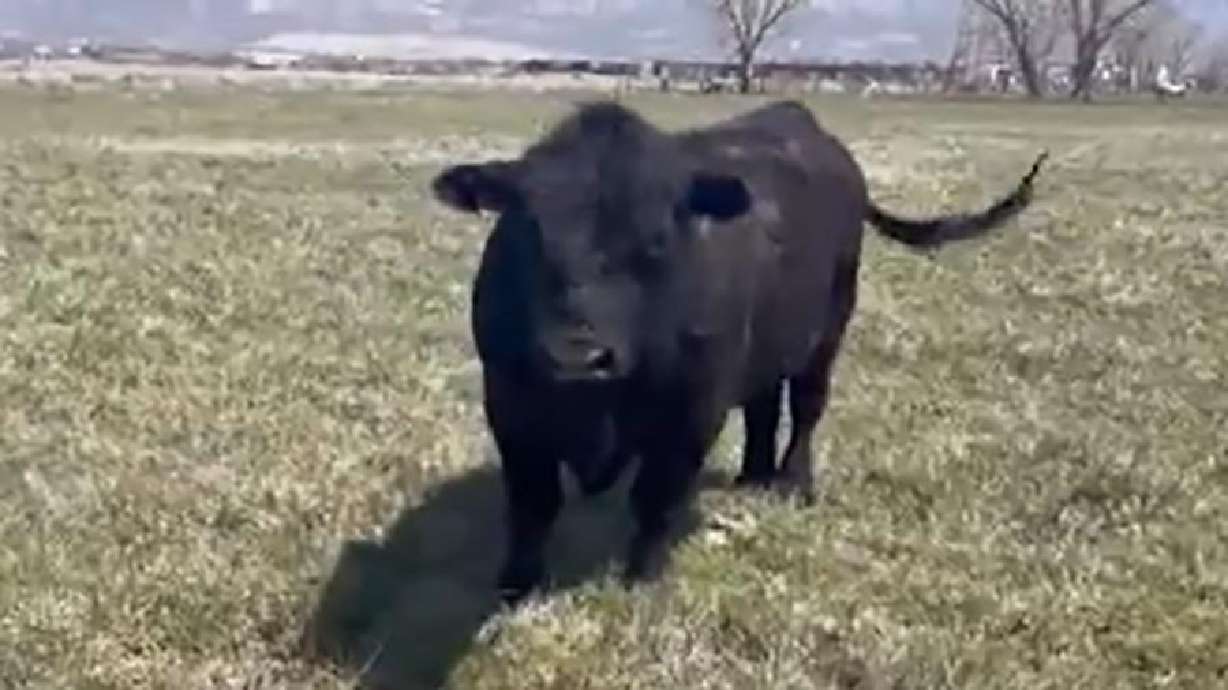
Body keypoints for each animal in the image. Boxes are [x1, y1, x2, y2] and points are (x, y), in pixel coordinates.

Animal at [430, 99, 1047, 605]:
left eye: (657, 239)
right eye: (527, 232)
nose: (577, 357)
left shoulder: (691, 414)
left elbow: (655, 498)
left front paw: (641, 581)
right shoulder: (510, 404)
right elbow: (532, 502)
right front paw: (517, 587)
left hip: (829, 327)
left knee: (806, 406)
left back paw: (792, 483)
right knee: (762, 406)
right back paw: (752, 476)